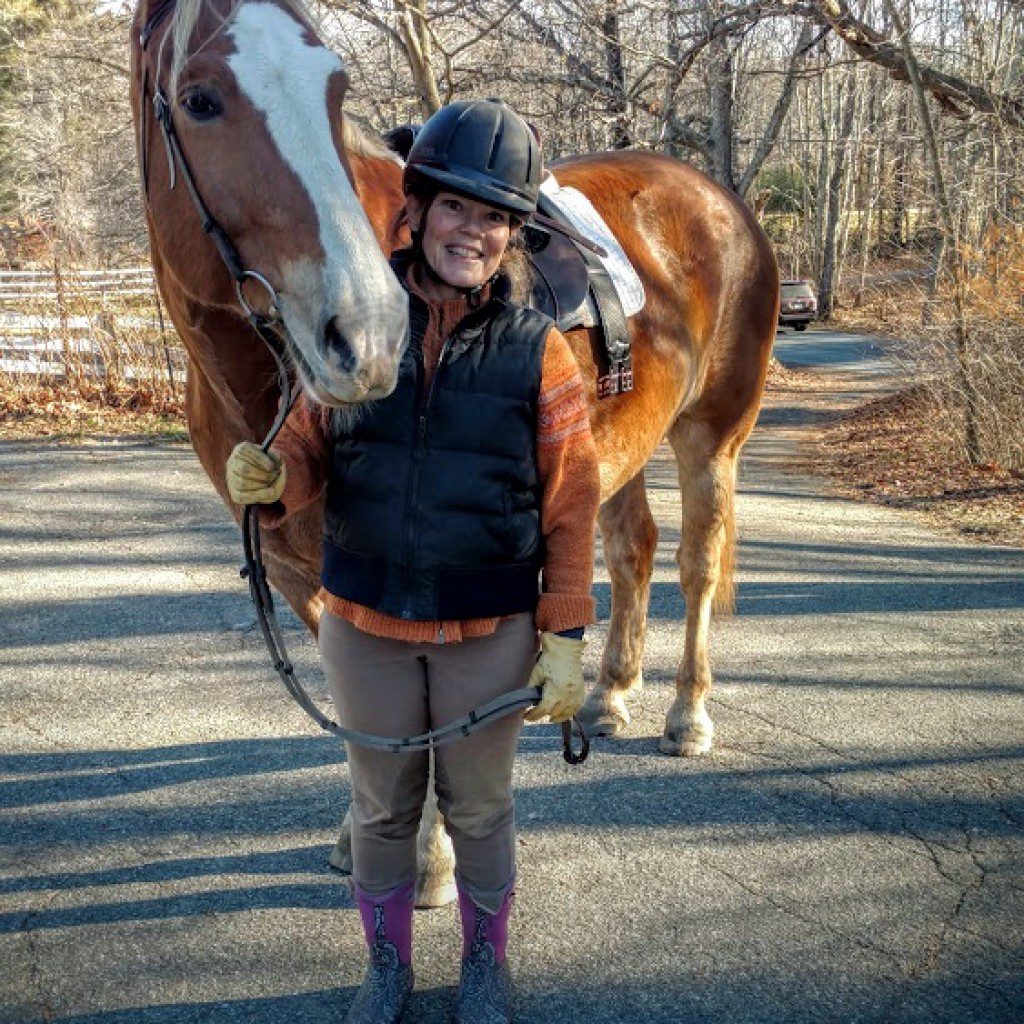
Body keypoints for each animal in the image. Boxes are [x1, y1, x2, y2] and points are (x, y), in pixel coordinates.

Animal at [132, 0, 778, 905]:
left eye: (335, 88)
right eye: (199, 100)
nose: (368, 335)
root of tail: (718, 201)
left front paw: (432, 857)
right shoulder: (305, 572)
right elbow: (366, 708)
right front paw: (365, 833)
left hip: (711, 438)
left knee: (698, 563)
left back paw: (688, 714)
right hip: (616, 445)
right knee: (633, 551)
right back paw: (611, 693)